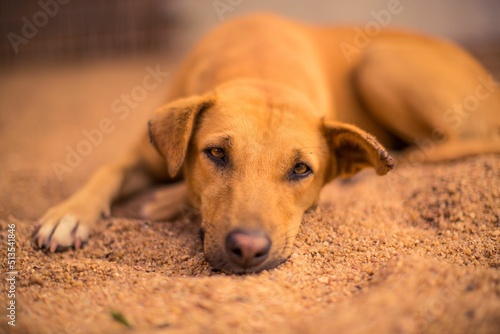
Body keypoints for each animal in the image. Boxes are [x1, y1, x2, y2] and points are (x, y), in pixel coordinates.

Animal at [33, 13, 498, 274]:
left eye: (301, 169)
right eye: (216, 153)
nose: (247, 250)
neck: (261, 71)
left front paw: (163, 200)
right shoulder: (145, 151)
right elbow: (107, 169)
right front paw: (68, 215)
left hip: (378, 62)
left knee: (443, 145)